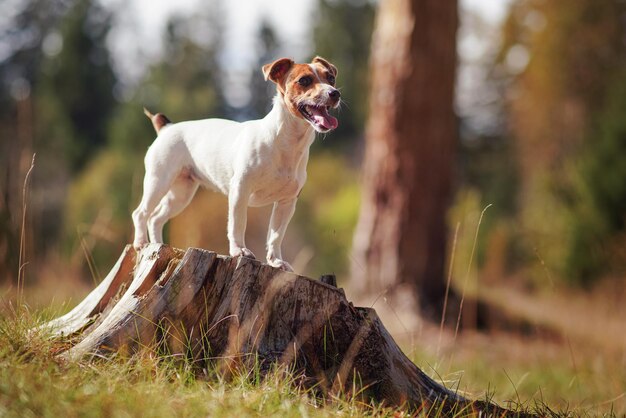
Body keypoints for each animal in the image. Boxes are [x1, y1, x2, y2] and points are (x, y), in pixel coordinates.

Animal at [129, 55, 338, 272]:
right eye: (304, 80)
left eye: (331, 78)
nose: (335, 93)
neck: (286, 142)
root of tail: (166, 128)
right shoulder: (240, 190)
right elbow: (238, 223)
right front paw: (239, 251)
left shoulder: (286, 203)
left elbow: (276, 235)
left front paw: (275, 261)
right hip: (158, 181)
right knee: (141, 213)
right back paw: (141, 243)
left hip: (180, 193)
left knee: (156, 217)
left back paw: (158, 245)